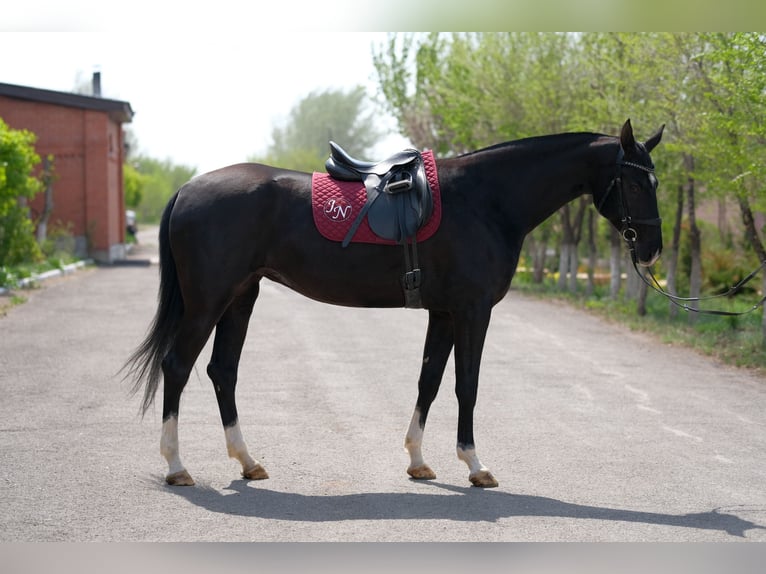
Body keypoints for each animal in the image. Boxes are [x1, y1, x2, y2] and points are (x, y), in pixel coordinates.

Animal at [123, 119, 664, 488]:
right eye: (637, 182)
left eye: (655, 182)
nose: (653, 250)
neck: (486, 200)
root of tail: (189, 188)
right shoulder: (473, 311)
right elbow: (466, 386)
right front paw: (475, 465)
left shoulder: (444, 313)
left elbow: (430, 381)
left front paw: (419, 461)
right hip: (208, 302)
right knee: (177, 366)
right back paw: (177, 466)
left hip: (241, 297)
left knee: (223, 371)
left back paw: (248, 461)